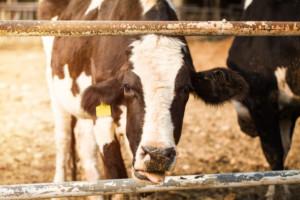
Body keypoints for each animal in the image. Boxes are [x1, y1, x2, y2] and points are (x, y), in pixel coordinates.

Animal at [38, 0, 247, 199]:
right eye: (128, 87)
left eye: (186, 89)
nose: (157, 155)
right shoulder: (103, 120)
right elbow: (117, 179)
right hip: (56, 93)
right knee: (64, 142)